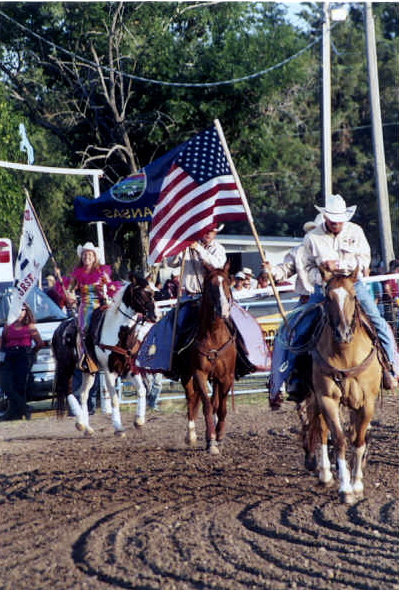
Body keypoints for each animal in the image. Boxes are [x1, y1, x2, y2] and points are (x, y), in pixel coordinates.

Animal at [52, 278, 158, 440]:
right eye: (140, 294)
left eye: (152, 293)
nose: (154, 316)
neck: (119, 332)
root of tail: (59, 329)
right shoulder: (109, 372)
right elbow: (114, 399)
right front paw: (119, 428)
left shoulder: (130, 370)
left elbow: (141, 390)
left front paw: (139, 420)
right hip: (66, 367)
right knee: (67, 390)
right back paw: (80, 423)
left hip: (88, 372)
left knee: (83, 394)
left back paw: (88, 429)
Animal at [179, 264, 238, 458]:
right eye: (210, 286)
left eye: (227, 282)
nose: (223, 309)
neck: (214, 335)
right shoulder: (199, 374)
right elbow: (206, 406)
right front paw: (211, 440)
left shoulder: (227, 377)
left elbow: (221, 408)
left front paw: (219, 437)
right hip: (187, 376)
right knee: (192, 399)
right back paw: (191, 435)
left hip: (217, 379)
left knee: (215, 402)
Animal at [304, 268, 382, 504]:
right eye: (328, 297)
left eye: (354, 296)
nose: (343, 333)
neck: (346, 354)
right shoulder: (327, 399)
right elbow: (339, 440)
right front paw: (345, 488)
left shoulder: (367, 403)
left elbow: (358, 440)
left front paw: (357, 484)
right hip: (316, 399)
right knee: (320, 430)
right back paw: (325, 474)